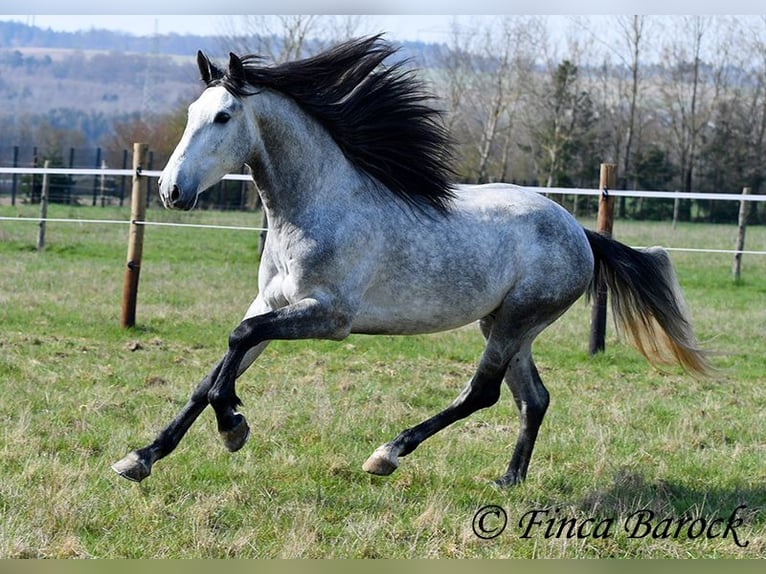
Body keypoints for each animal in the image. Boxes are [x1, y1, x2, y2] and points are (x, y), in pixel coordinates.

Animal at [112, 36, 710, 487]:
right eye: (192, 113)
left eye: (223, 116)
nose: (170, 191)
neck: (317, 206)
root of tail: (580, 233)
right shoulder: (271, 303)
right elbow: (218, 365)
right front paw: (143, 457)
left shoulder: (330, 317)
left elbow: (236, 343)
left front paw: (233, 426)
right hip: (507, 324)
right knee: (533, 399)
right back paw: (508, 479)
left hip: (516, 320)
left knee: (483, 392)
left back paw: (387, 454)